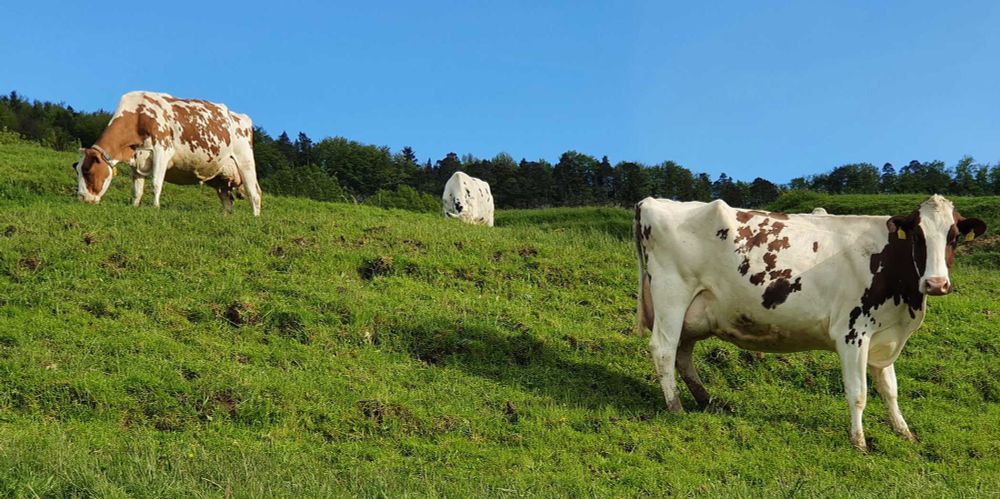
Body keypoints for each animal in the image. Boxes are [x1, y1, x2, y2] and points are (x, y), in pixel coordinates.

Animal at [73, 91, 262, 215]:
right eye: (78, 171)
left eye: (87, 171)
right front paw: (135, 207)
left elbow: (156, 183)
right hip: (221, 176)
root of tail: (241, 117)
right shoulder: (137, 160)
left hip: (245, 161)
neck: (138, 116)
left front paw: (155, 207)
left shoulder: (161, 151)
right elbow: (137, 189)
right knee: (228, 201)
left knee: (255, 192)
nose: (81, 198)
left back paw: (255, 219)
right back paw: (226, 218)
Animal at [636, 194, 988, 450]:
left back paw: (707, 400)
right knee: (664, 349)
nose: (936, 283)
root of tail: (652, 202)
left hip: (694, 312)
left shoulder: (884, 335)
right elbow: (858, 392)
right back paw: (675, 406)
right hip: (672, 295)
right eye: (918, 236)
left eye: (954, 237)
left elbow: (890, 389)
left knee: (683, 354)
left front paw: (904, 432)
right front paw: (859, 442)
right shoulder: (852, 333)